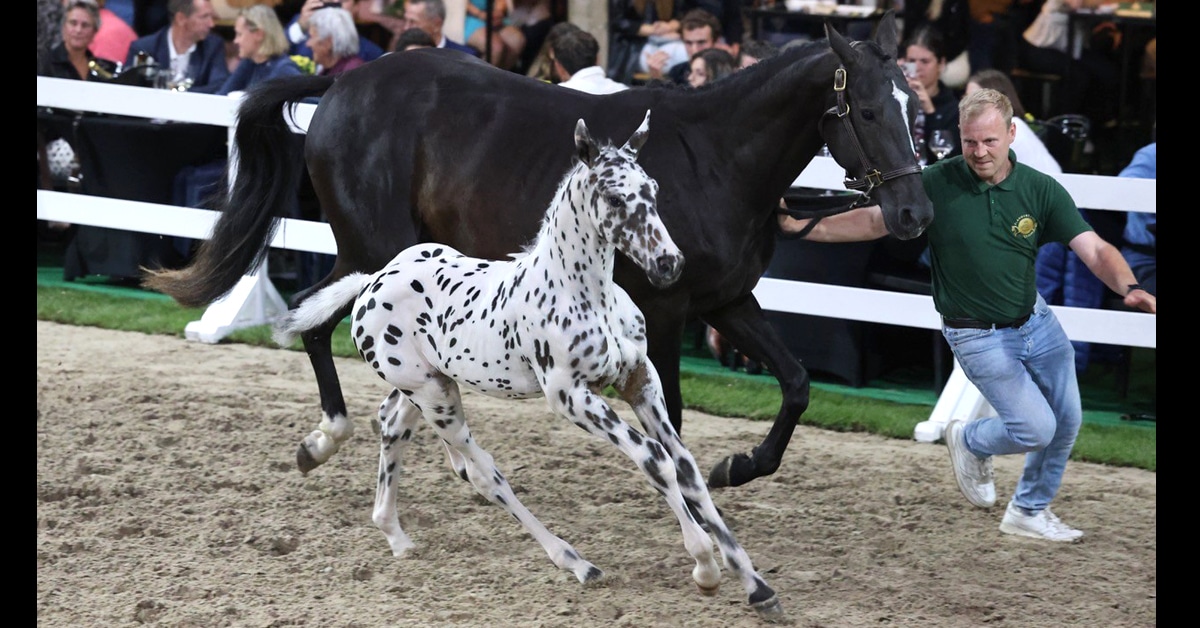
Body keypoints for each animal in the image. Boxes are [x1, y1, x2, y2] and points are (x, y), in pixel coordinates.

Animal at [143, 11, 933, 491]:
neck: (713, 157)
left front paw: (738, 467)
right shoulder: (666, 307)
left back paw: (343, 441)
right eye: (867, 110)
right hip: (379, 253)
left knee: (316, 323)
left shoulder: (726, 300)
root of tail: (340, 83)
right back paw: (339, 438)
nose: (914, 213)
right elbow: (673, 412)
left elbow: (796, 383)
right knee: (321, 325)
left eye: (916, 106)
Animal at [272, 113, 784, 620]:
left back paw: (395, 534)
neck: (583, 293)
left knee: (392, 423)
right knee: (485, 473)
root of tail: (371, 281)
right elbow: (654, 459)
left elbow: (686, 467)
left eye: (653, 190)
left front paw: (756, 585)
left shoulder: (640, 380)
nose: (668, 264)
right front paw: (704, 565)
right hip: (436, 397)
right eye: (615, 197)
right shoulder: (570, 396)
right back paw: (576, 562)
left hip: (430, 384)